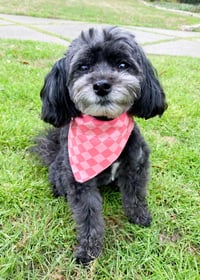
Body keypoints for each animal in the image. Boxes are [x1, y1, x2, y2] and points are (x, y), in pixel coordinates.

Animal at [33, 26, 167, 264]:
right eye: (83, 67)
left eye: (122, 65)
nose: (102, 85)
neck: (104, 124)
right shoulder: (80, 181)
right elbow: (88, 216)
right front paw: (88, 251)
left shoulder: (136, 166)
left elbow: (136, 195)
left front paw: (140, 217)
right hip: (60, 171)